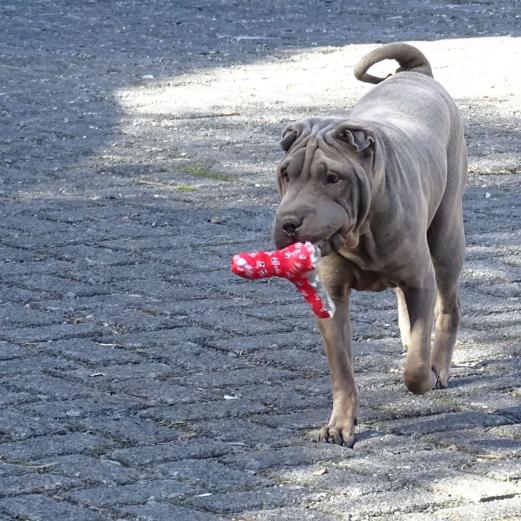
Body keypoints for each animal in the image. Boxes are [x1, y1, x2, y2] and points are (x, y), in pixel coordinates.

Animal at [272, 43, 467, 447]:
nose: (288, 223)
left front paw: (424, 374)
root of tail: (415, 73)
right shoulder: (333, 299)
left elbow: (415, 367)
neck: (361, 233)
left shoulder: (420, 279)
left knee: (447, 306)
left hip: (445, 239)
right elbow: (342, 369)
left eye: (333, 178)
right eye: (285, 174)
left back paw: (438, 365)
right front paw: (340, 424)